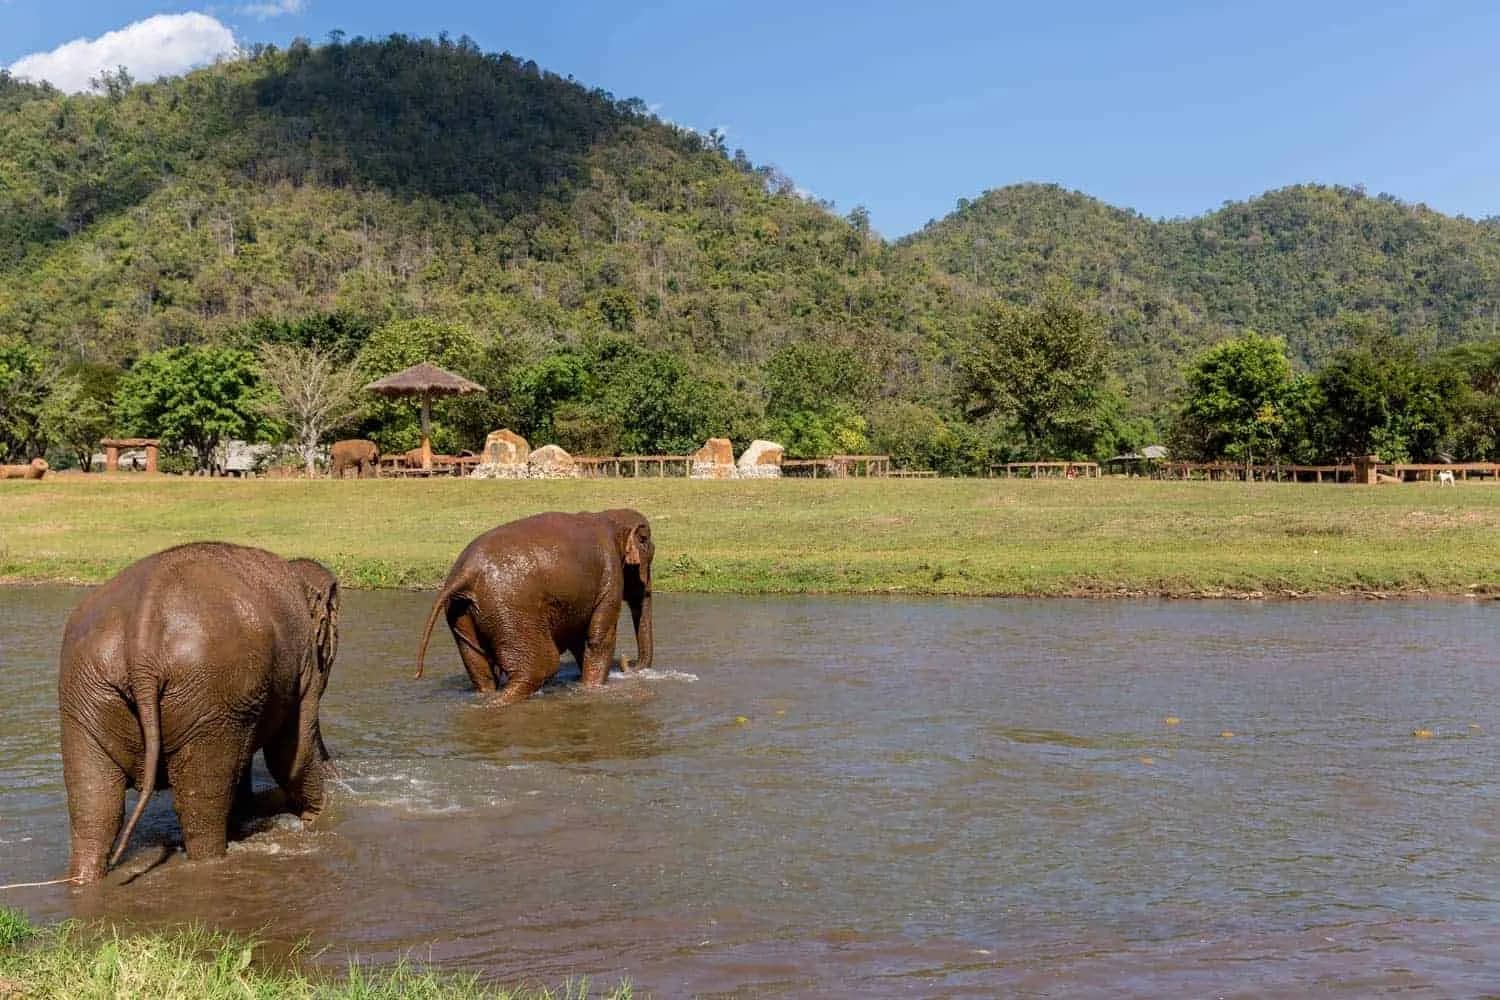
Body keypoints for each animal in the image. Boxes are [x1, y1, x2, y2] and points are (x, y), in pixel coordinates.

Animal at [57, 542, 341, 883]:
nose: (337, 773)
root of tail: (141, 633)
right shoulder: (303, 666)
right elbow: (290, 753)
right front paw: (320, 817)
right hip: (210, 698)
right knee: (201, 809)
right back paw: (211, 861)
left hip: (86, 691)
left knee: (95, 807)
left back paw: (84, 877)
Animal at [415, 509, 655, 704]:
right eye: (648, 551)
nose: (628, 661)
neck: (610, 516)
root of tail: (466, 572)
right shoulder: (610, 577)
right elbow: (598, 639)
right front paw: (592, 689)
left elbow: (580, 640)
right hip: (512, 611)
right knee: (540, 667)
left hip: (462, 612)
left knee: (481, 671)